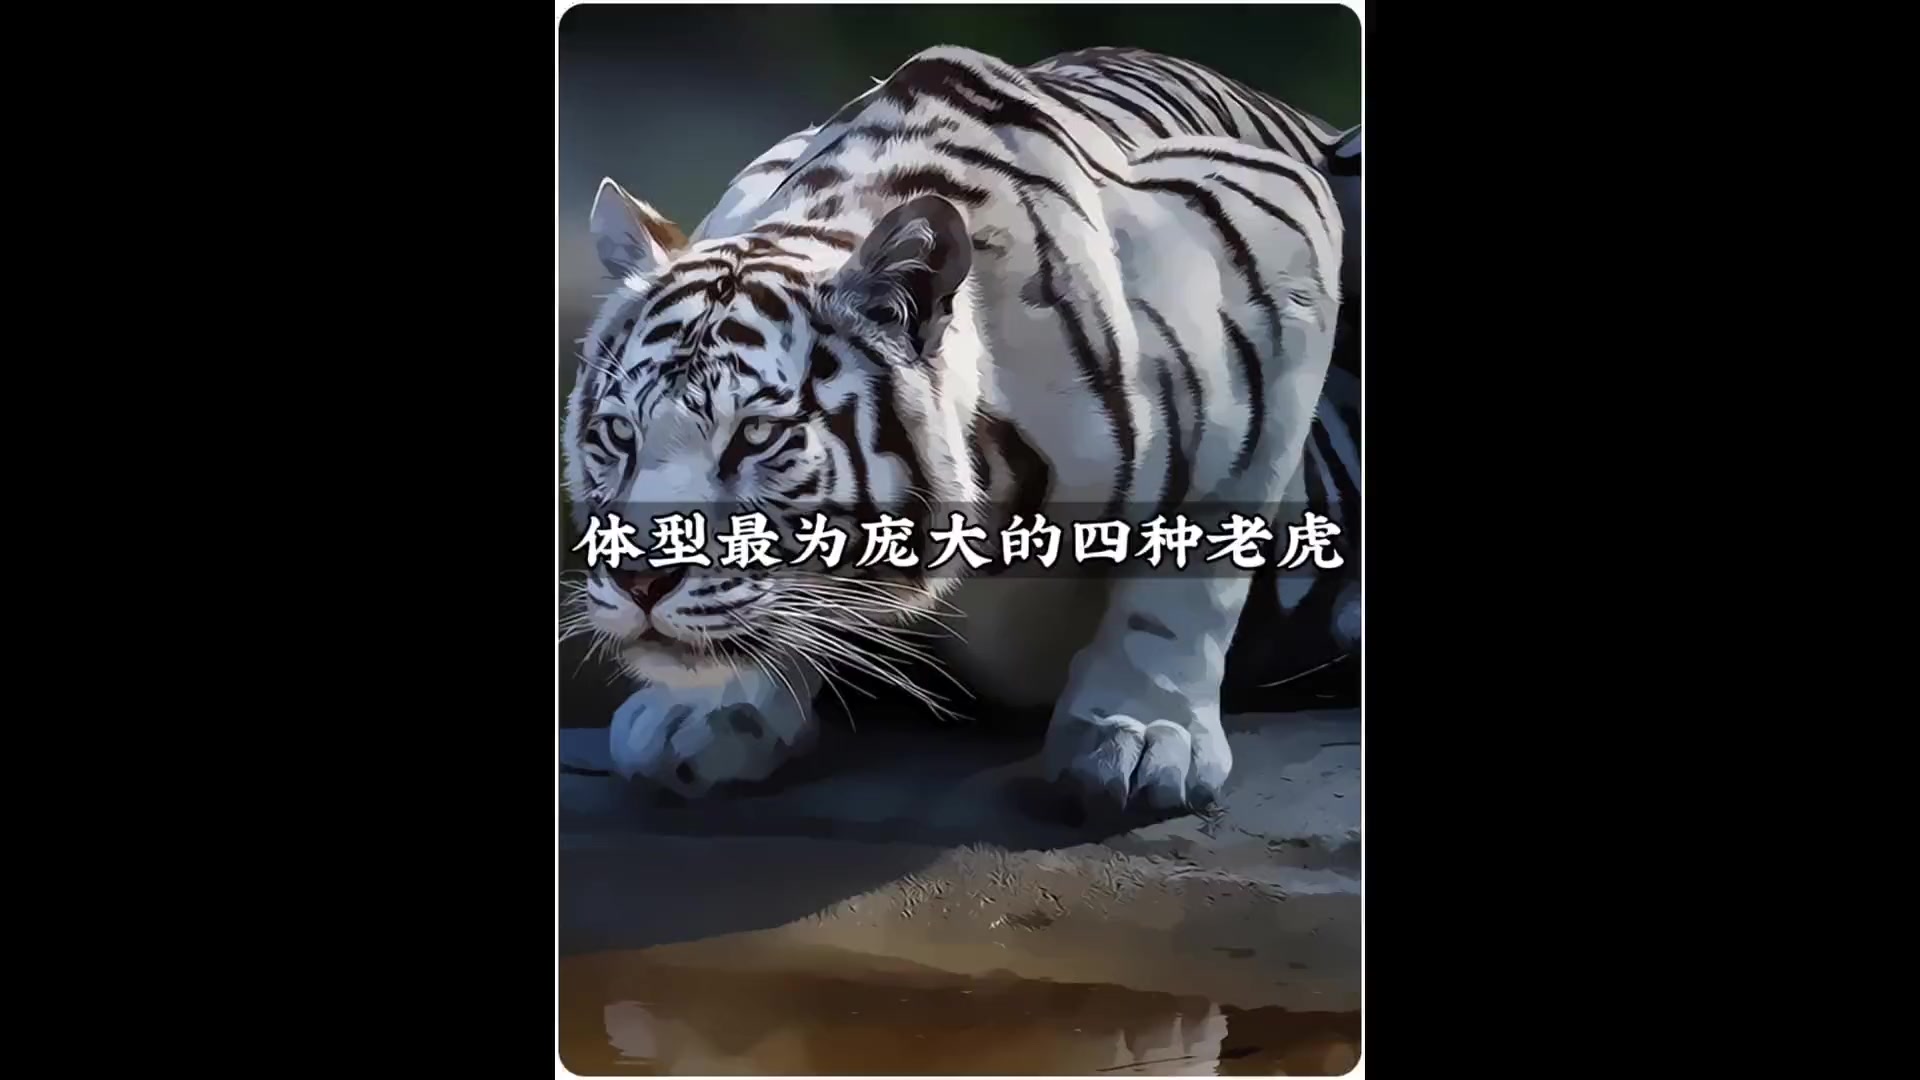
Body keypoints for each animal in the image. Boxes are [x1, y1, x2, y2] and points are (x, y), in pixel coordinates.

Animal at [562, 45, 1350, 817]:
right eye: (618, 434)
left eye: (756, 435)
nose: (638, 580)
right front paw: (702, 710)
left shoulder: (1281, 243)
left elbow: (1193, 567)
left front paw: (1143, 734)